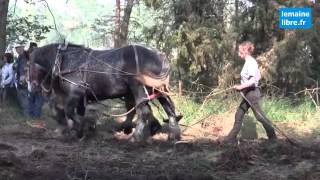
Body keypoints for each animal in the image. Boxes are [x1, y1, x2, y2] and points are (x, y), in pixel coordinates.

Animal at [29, 43, 182, 142]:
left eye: (29, 65)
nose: (31, 87)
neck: (63, 61)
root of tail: (159, 55)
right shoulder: (80, 97)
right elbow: (72, 112)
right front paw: (77, 131)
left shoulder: (74, 93)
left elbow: (69, 112)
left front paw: (84, 128)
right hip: (158, 89)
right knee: (169, 108)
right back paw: (173, 134)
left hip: (138, 87)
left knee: (144, 111)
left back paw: (135, 137)